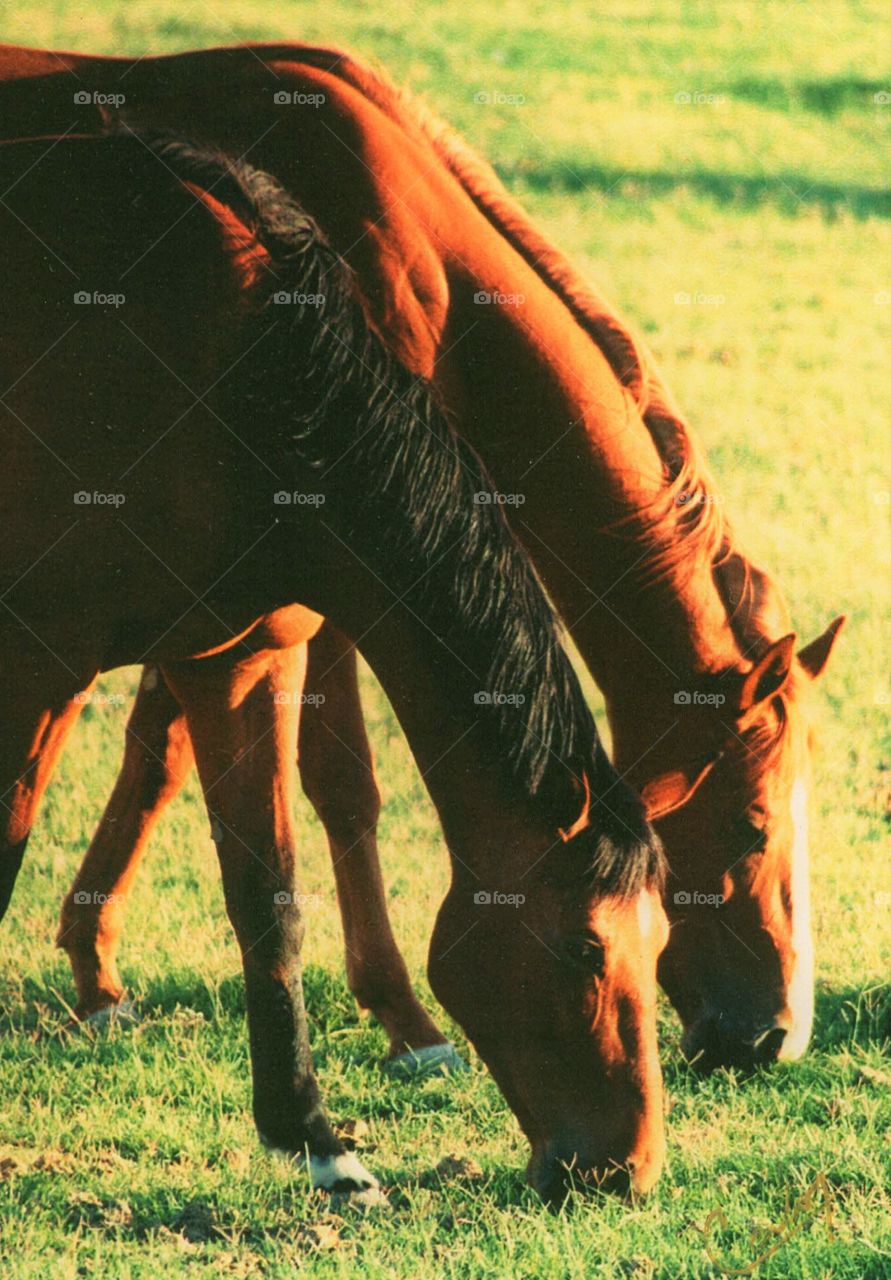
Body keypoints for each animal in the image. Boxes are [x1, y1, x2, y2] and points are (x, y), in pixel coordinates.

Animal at [0, 42, 839, 1070]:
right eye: (752, 826)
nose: (775, 1035)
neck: (408, 259)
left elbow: (158, 750)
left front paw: (95, 967)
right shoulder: (322, 583)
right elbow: (343, 787)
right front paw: (405, 1018)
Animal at [0, 132, 701, 1198]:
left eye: (657, 944)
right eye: (584, 945)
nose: (624, 1169)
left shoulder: (242, 660)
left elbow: (269, 900)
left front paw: (315, 1138)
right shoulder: (37, 668)